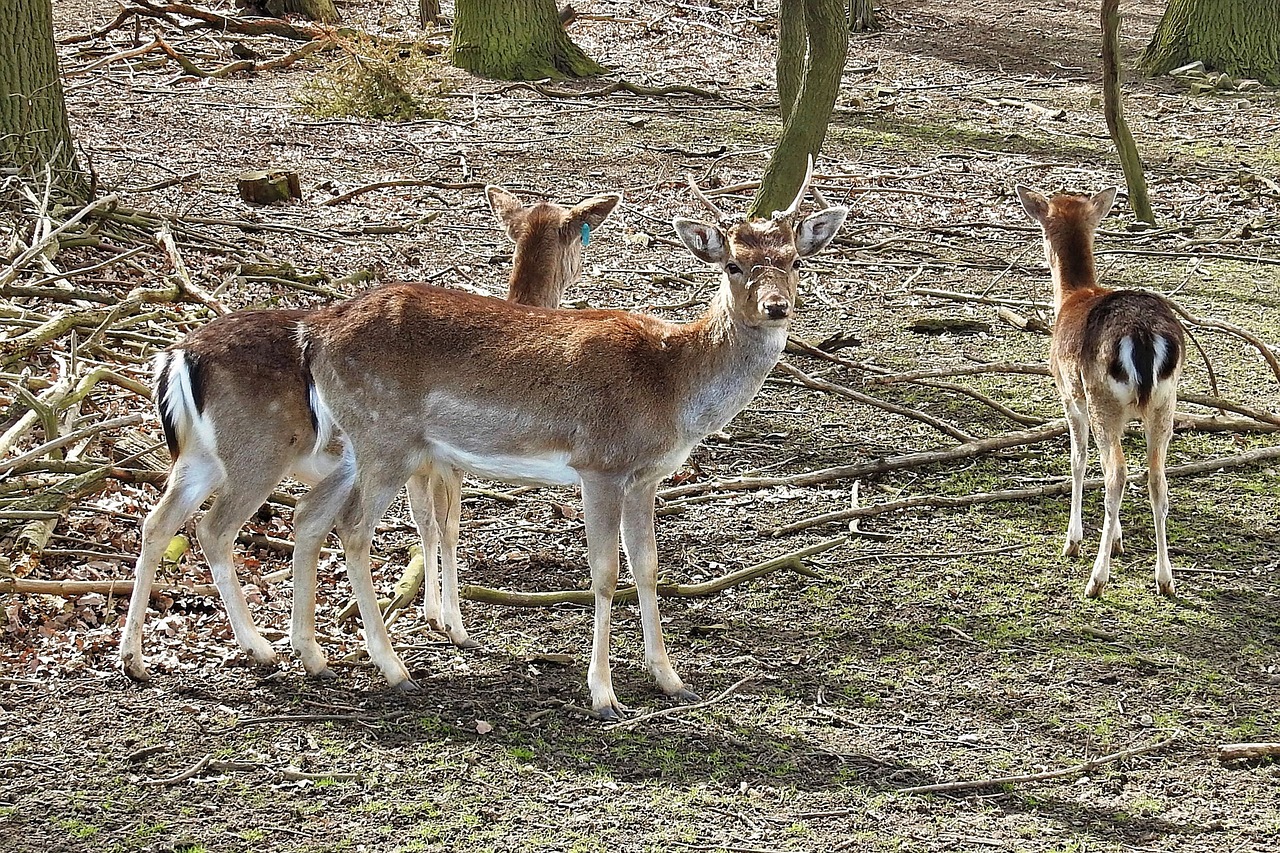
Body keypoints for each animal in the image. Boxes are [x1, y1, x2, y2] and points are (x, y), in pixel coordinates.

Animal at [119, 185, 619, 676]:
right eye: (581, 238)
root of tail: (174, 358)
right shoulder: (447, 464)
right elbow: (447, 526)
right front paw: (453, 624)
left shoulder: (419, 466)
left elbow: (420, 525)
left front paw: (431, 614)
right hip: (258, 453)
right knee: (214, 529)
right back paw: (262, 647)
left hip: (198, 457)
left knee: (158, 523)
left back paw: (136, 657)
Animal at [291, 162, 849, 712]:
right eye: (732, 265)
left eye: (794, 261)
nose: (776, 306)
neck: (672, 387)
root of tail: (315, 335)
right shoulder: (601, 462)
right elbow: (605, 572)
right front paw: (602, 692)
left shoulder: (647, 476)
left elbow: (647, 567)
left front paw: (669, 679)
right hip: (386, 439)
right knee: (353, 527)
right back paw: (394, 669)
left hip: (352, 445)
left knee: (310, 513)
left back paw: (312, 656)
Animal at [1013, 185, 1182, 596]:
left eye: (1041, 231)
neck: (1074, 293)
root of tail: (1143, 335)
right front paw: (1119, 540)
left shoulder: (1069, 394)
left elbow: (1078, 460)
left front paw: (1073, 541)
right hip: (1165, 404)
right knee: (1156, 478)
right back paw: (1165, 580)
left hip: (1102, 399)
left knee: (1116, 473)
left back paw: (1096, 579)